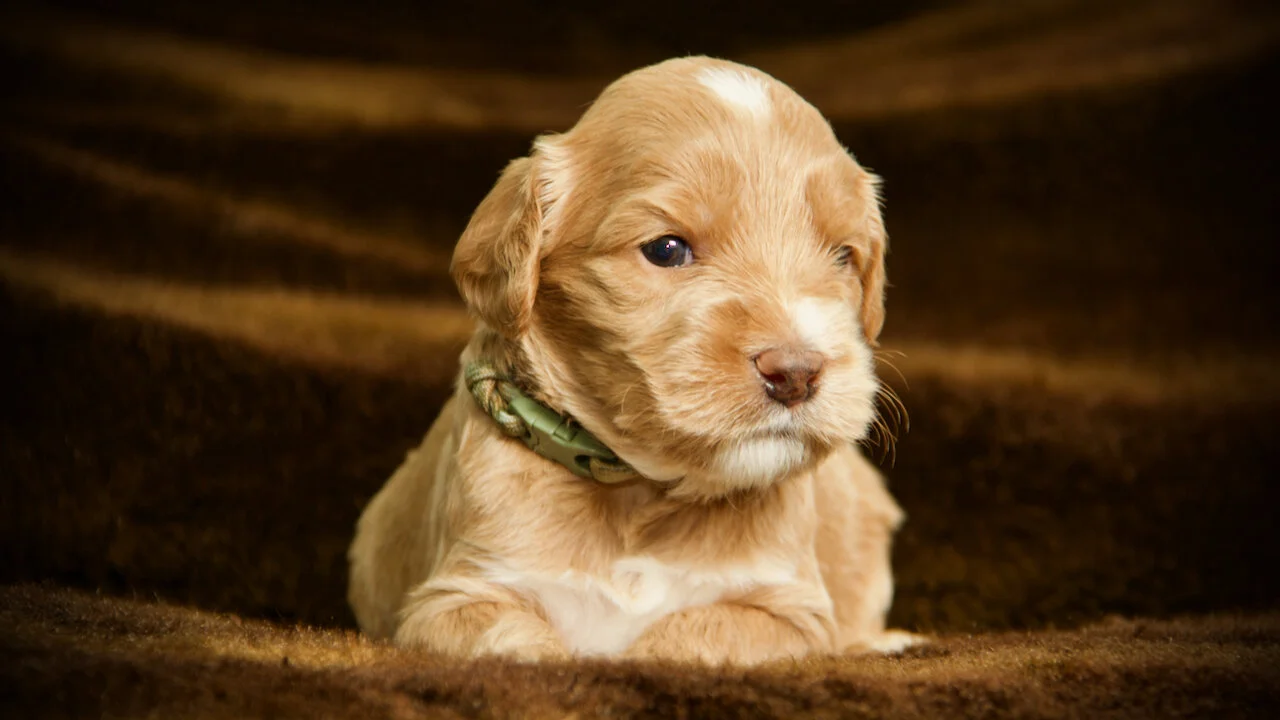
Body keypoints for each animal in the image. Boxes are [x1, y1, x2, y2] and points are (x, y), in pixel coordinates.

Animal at [348, 56, 917, 665]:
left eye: (843, 256)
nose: (796, 372)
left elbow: (691, 634)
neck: (639, 495)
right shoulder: (456, 597)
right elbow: (518, 641)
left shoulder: (788, 614)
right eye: (666, 250)